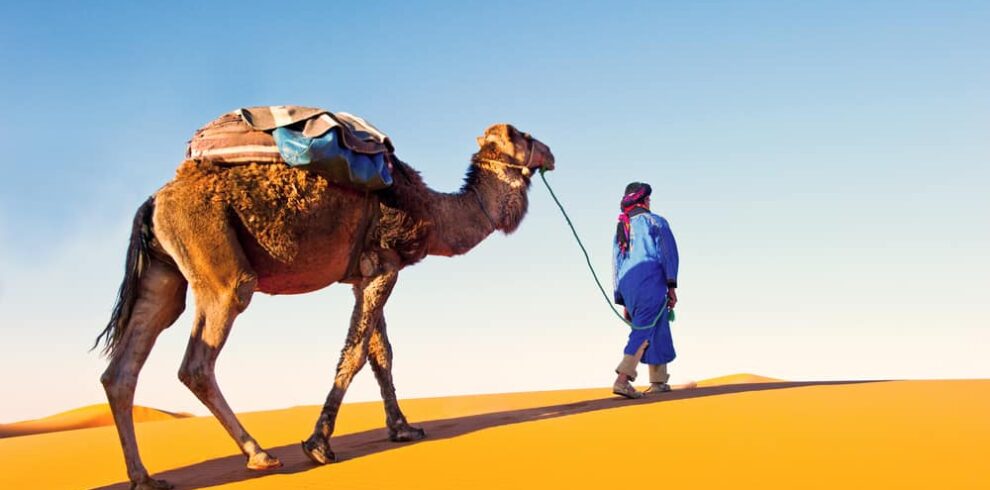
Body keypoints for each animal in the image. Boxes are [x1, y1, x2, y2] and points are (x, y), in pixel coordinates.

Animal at [95, 122, 555, 489]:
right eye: (522, 135)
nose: (551, 152)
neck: (433, 214)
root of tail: (152, 203)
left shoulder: (364, 275)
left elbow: (381, 354)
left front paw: (403, 429)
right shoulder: (384, 266)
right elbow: (356, 354)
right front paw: (318, 444)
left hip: (164, 273)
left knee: (123, 369)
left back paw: (144, 477)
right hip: (218, 266)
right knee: (198, 358)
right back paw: (260, 454)